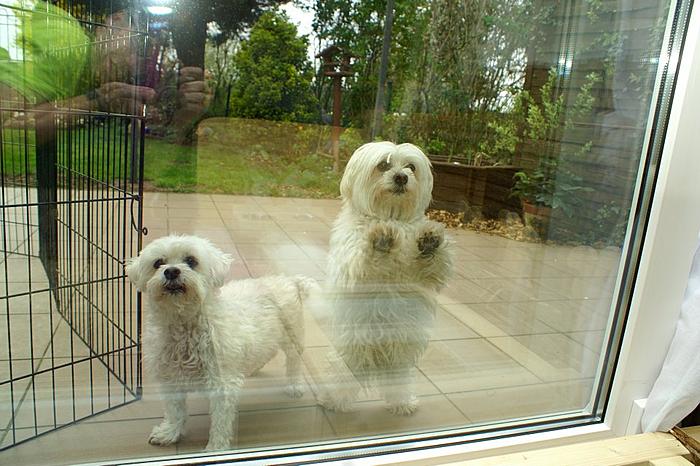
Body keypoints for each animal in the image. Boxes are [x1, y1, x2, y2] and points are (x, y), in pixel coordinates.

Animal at [126, 234, 317, 451]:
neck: (184, 325)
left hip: (293, 335)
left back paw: (294, 385)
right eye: (158, 263)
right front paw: (169, 432)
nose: (171, 271)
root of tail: (290, 280)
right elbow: (175, 411)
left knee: (294, 361)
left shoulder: (222, 385)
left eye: (191, 260)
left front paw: (215, 449)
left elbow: (220, 422)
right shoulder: (170, 380)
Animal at [318, 141, 453, 415]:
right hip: (349, 351)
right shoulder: (355, 268)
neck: (391, 215)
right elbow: (366, 261)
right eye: (383, 165)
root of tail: (377, 358)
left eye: (411, 167)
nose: (401, 177)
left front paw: (429, 243)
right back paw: (333, 400)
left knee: (397, 381)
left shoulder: (421, 278)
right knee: (342, 376)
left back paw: (402, 402)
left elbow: (431, 268)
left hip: (400, 358)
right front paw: (381, 240)